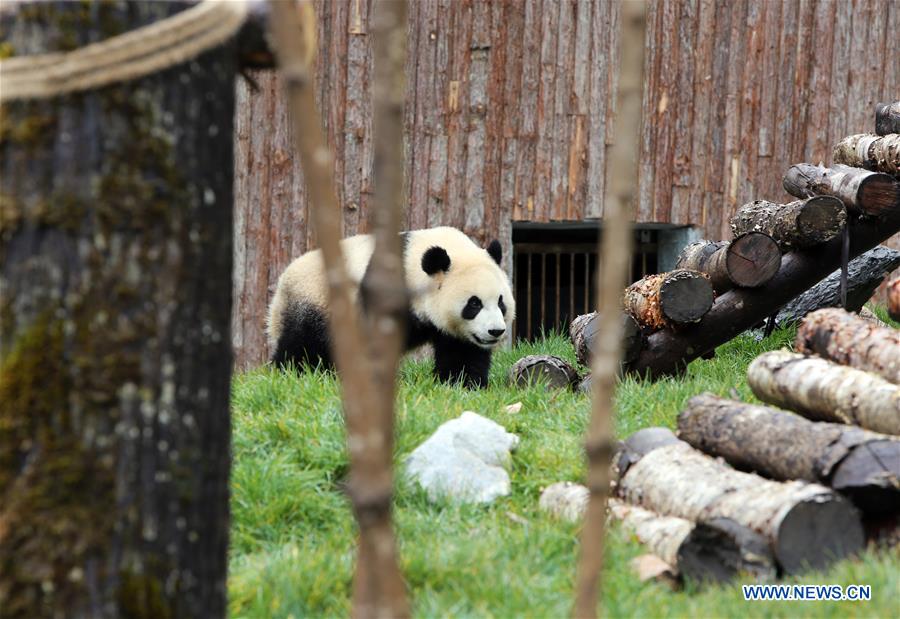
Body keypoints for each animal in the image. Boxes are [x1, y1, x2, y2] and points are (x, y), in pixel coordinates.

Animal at [266, 226, 516, 388]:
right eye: (474, 303)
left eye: (501, 302)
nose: (495, 331)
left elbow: (461, 350)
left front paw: (463, 383)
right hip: (314, 302)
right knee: (302, 345)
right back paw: (291, 373)